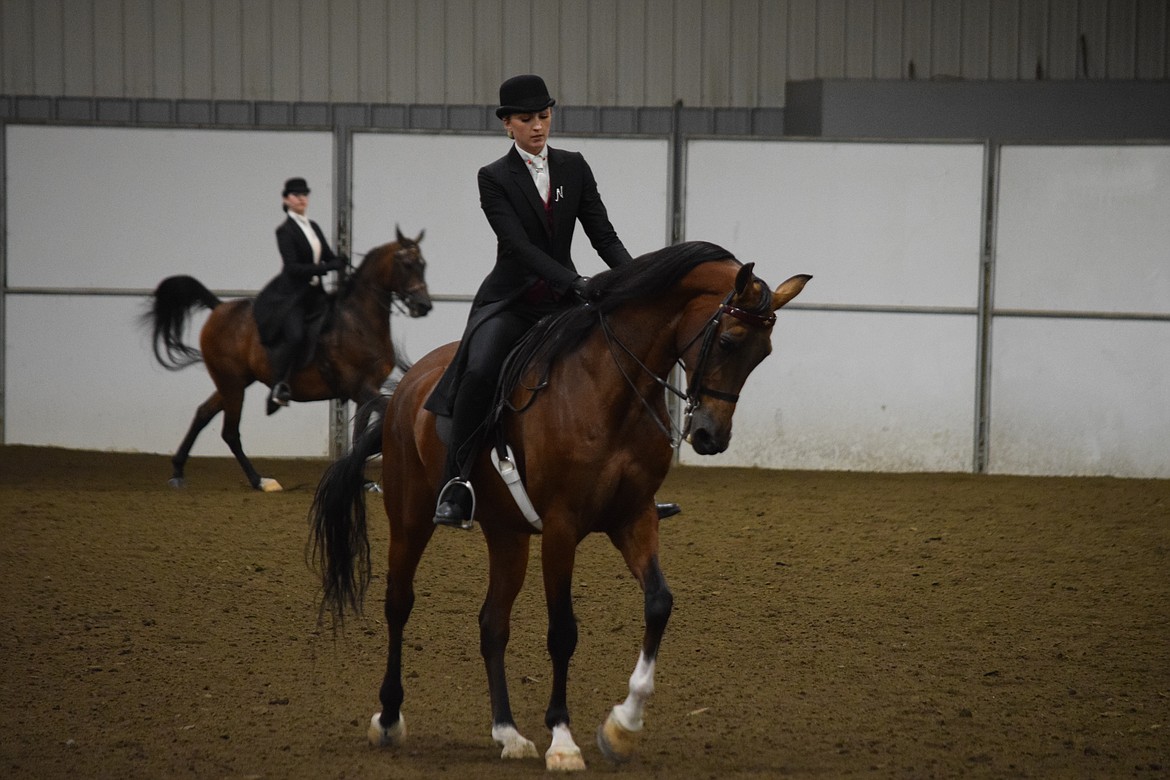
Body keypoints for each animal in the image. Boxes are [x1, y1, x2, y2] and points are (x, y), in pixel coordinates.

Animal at [143, 229, 432, 491]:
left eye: (423, 264)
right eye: (407, 264)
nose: (424, 306)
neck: (359, 321)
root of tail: (219, 308)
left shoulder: (365, 391)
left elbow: (359, 434)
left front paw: (362, 481)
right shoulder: (361, 388)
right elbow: (383, 414)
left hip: (234, 381)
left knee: (204, 413)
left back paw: (178, 471)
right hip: (231, 382)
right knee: (230, 431)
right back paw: (260, 481)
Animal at [306, 240, 809, 771]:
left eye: (763, 353)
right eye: (730, 341)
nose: (712, 437)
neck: (612, 390)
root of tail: (406, 387)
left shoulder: (634, 516)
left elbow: (659, 603)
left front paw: (622, 727)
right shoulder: (562, 528)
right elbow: (563, 631)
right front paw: (563, 740)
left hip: (506, 534)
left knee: (492, 622)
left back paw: (508, 734)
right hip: (410, 518)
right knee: (399, 604)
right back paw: (388, 719)